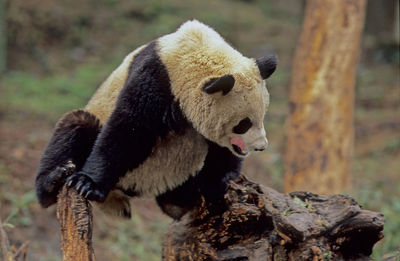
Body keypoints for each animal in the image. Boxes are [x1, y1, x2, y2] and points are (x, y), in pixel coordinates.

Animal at [36, 20, 276, 218]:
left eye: (262, 116)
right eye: (243, 124)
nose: (261, 147)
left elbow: (219, 151)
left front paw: (222, 181)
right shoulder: (155, 78)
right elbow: (127, 130)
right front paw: (87, 184)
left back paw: (178, 202)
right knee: (76, 125)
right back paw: (55, 178)